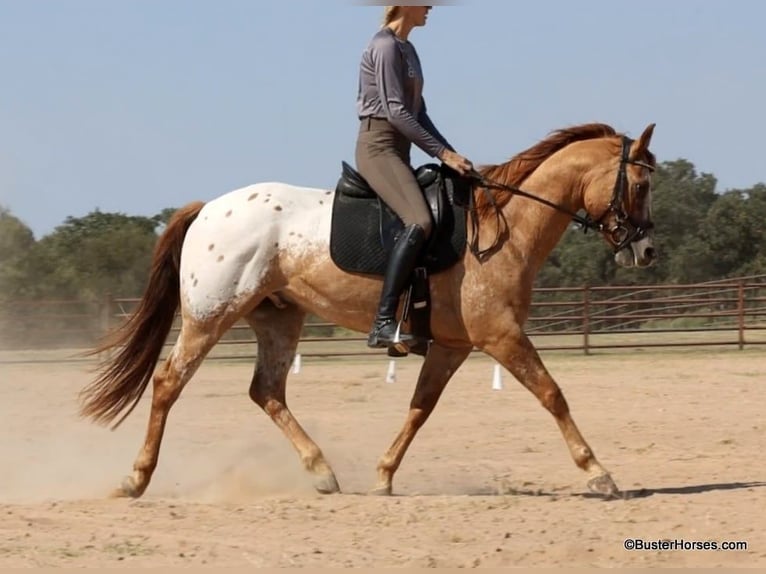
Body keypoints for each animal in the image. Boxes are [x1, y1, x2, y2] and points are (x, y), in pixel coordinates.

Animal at [78, 121, 658, 500]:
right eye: (642, 183)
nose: (647, 250)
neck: (505, 225)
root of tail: (208, 209)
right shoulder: (501, 335)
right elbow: (552, 395)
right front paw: (599, 473)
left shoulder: (453, 346)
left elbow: (420, 408)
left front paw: (383, 475)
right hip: (209, 316)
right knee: (168, 383)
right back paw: (135, 479)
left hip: (278, 317)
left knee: (266, 391)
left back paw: (321, 472)